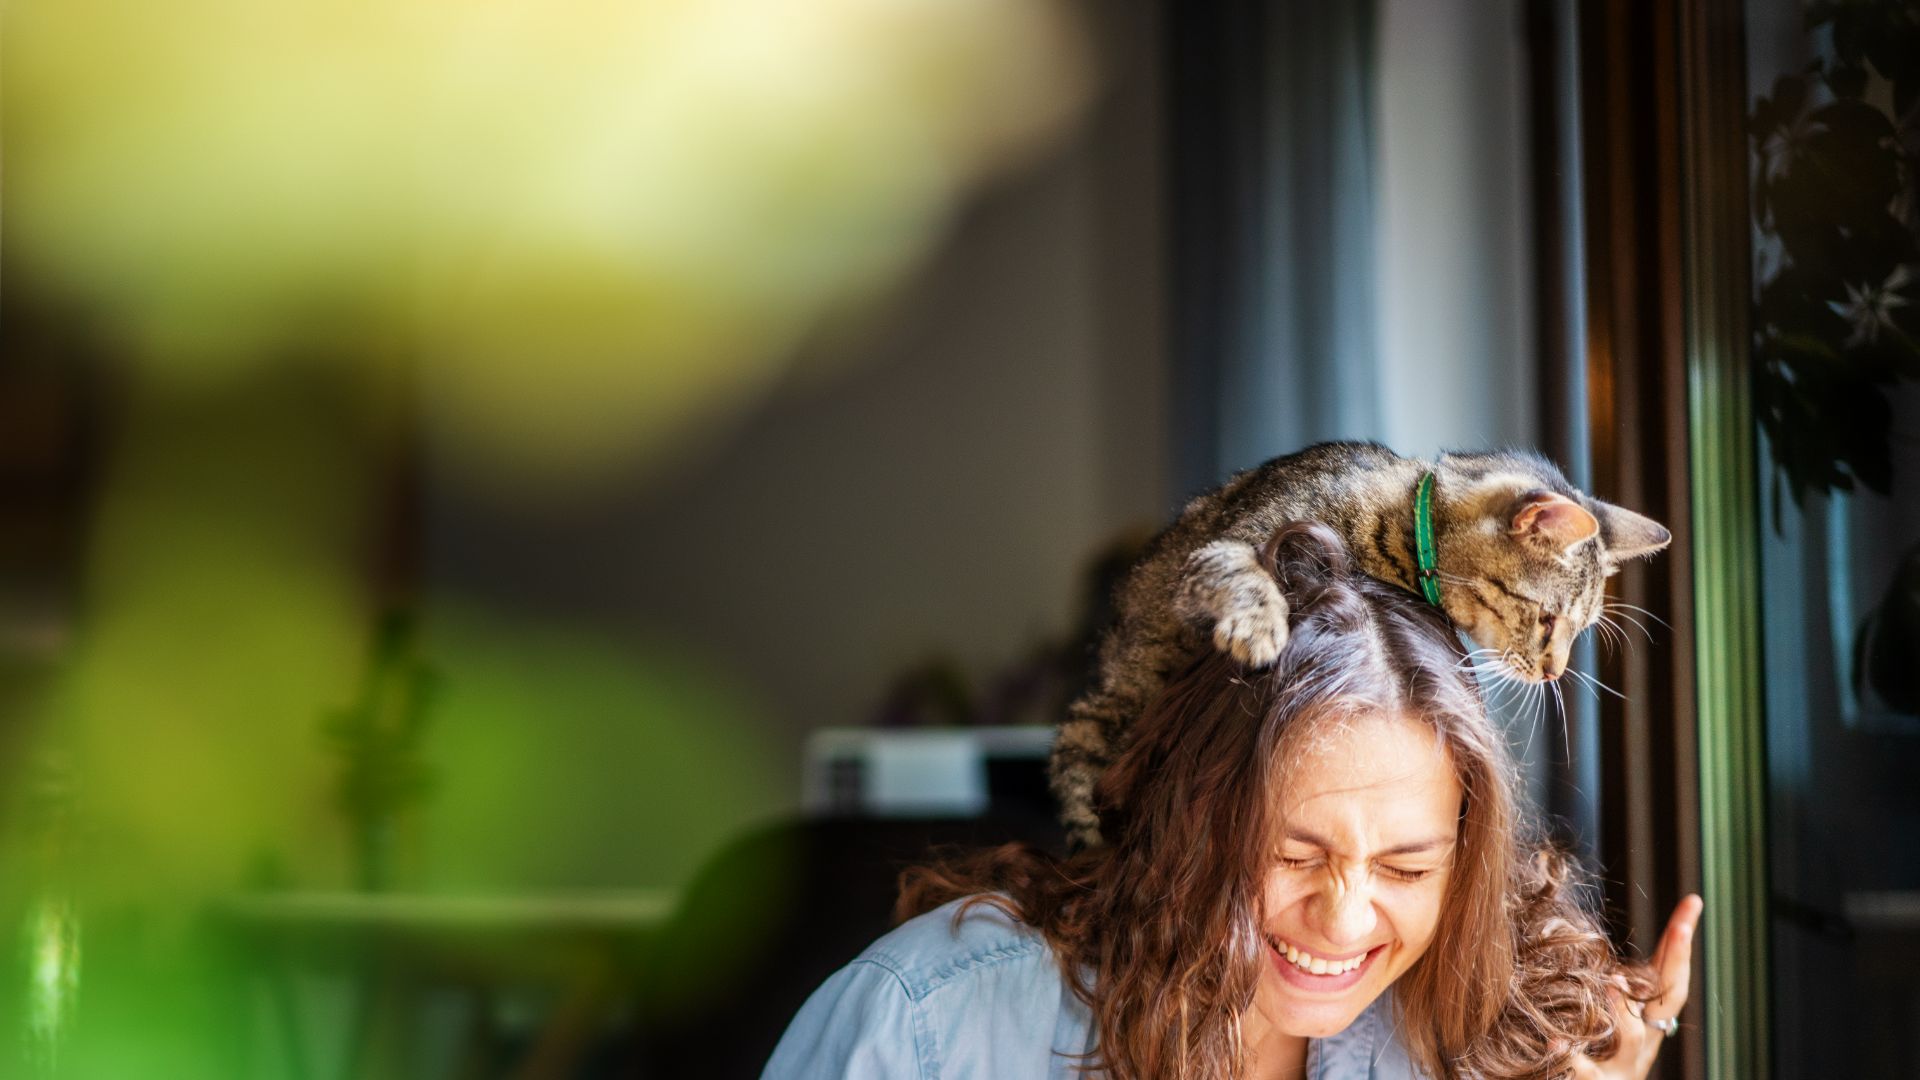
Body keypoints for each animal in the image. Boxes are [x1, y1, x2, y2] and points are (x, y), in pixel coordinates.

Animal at [1052, 441, 1666, 845]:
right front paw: (1258, 626)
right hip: (1089, 736)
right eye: (1547, 619)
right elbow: (1236, 569)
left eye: (1579, 629)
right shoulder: (1222, 546)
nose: (1553, 671)